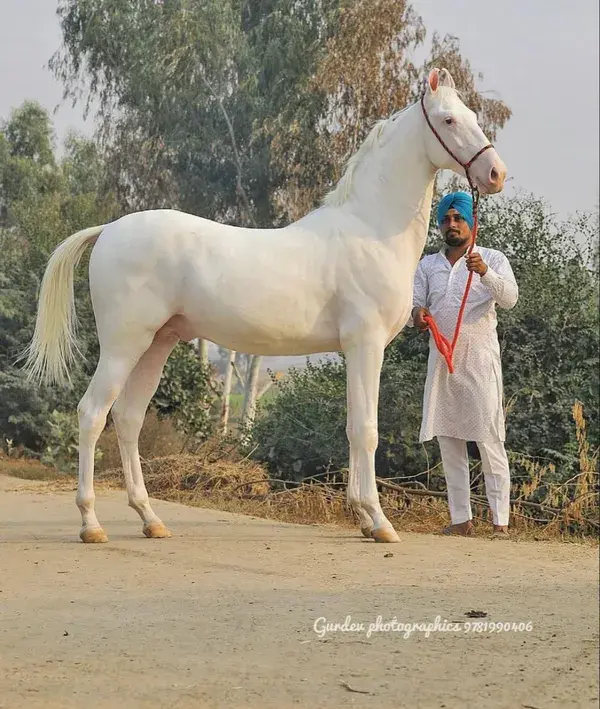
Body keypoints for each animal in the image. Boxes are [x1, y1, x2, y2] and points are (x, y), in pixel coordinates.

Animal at [27, 69, 506, 544]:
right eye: (448, 120)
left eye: (472, 115)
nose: (495, 173)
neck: (370, 228)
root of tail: (109, 229)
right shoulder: (365, 345)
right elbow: (365, 431)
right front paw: (379, 521)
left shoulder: (356, 351)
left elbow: (353, 427)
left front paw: (363, 518)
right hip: (124, 345)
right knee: (92, 414)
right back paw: (91, 523)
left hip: (157, 345)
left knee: (127, 419)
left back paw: (150, 519)